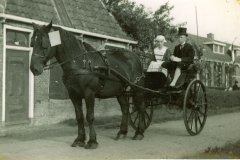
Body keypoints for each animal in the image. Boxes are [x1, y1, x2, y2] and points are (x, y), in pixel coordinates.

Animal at [30, 21, 146, 149]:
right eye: (32, 43)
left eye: (44, 44)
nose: (34, 69)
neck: (81, 63)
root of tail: (136, 57)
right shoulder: (73, 95)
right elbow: (79, 116)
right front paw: (79, 139)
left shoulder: (89, 93)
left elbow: (90, 116)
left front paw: (92, 141)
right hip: (120, 91)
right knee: (125, 109)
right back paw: (122, 133)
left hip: (137, 89)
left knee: (141, 107)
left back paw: (139, 133)